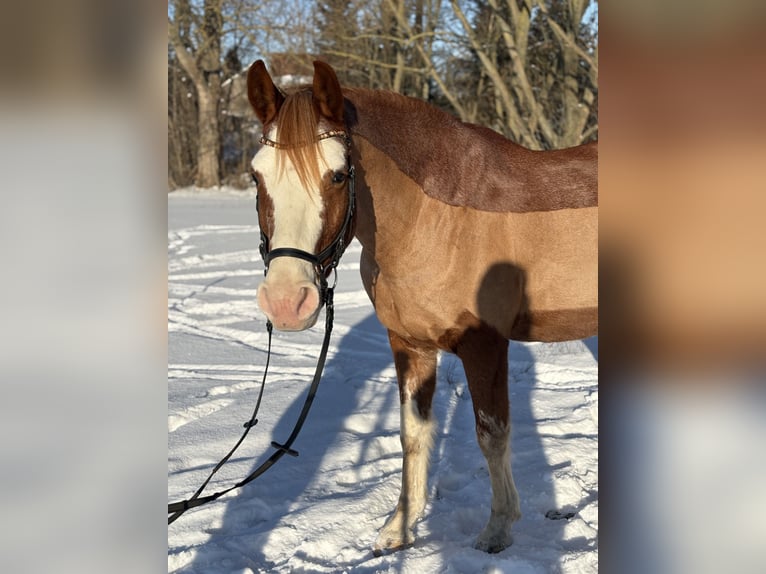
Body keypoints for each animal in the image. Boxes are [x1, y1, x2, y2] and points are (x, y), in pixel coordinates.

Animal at [246, 59, 597, 554]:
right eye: (256, 178)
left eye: (338, 175)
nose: (286, 301)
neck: (435, 220)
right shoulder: (410, 345)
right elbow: (412, 433)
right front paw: (400, 527)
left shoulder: (485, 345)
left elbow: (492, 433)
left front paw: (497, 530)